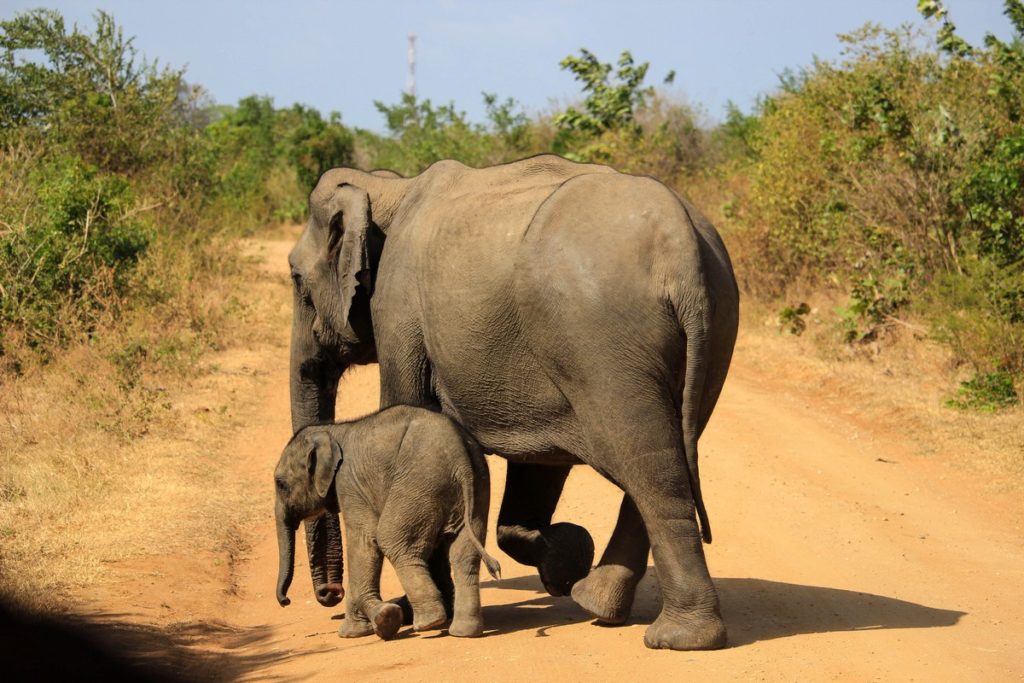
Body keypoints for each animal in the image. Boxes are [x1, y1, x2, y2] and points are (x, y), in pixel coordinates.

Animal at [270, 405, 497, 643]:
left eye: (281, 484)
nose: (285, 601)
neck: (333, 430)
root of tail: (461, 460)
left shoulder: (349, 484)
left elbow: (364, 542)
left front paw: (379, 621)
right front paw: (358, 630)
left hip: (419, 484)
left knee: (392, 540)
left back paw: (429, 623)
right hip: (476, 486)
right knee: (465, 555)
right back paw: (464, 632)